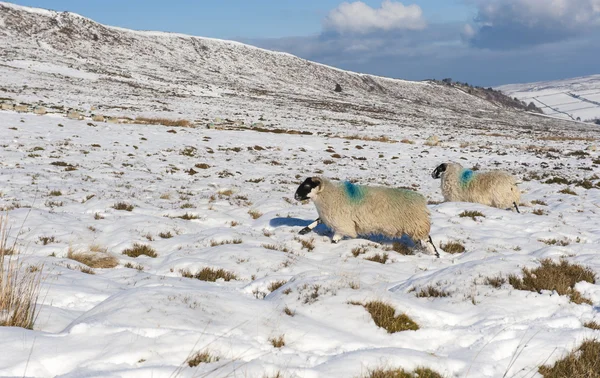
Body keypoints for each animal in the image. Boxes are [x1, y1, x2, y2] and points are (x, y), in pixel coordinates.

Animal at [296, 177, 440, 256]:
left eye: (307, 186)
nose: (296, 196)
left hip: (416, 224)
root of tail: (421, 200)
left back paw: (436, 254)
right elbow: (317, 220)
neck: (330, 195)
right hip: (414, 227)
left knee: (428, 239)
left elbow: (335, 239)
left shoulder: (342, 222)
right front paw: (303, 230)